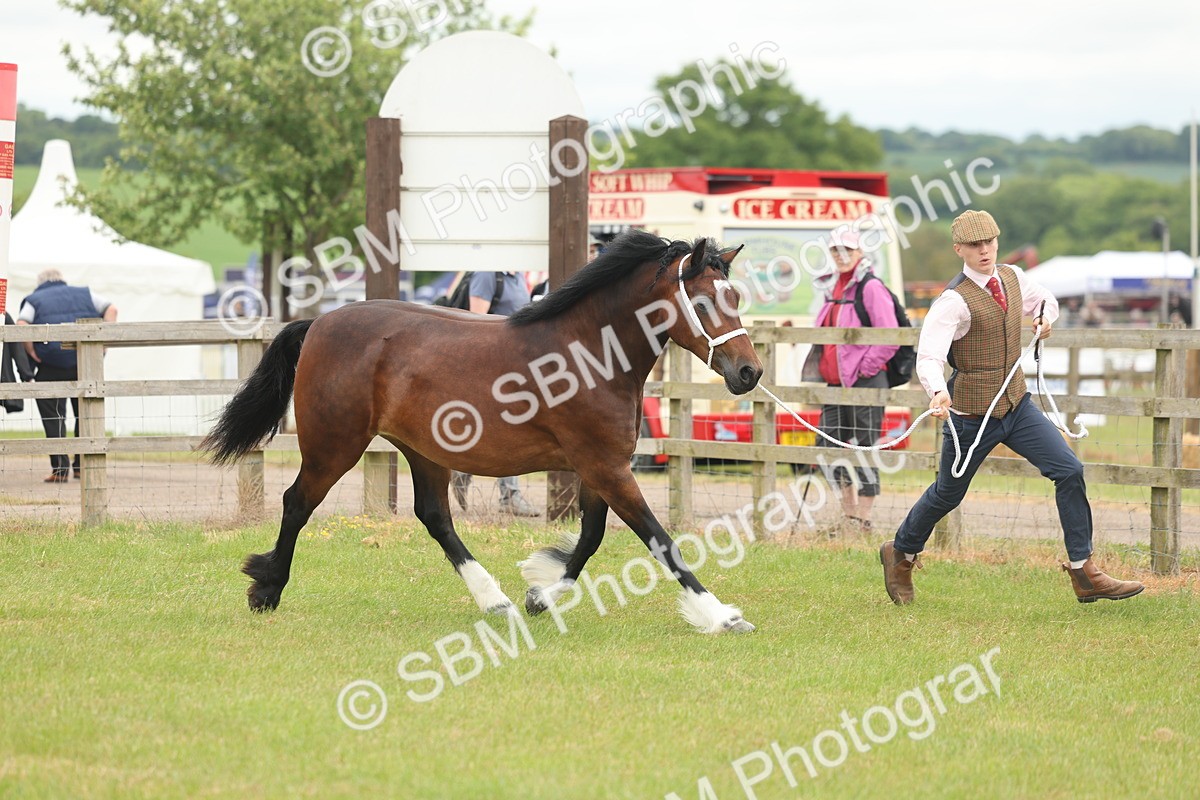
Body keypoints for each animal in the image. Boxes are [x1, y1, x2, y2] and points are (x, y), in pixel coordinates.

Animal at [201, 229, 763, 633]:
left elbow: (589, 539)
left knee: (435, 517)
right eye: (705, 303)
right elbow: (658, 539)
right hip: (334, 444)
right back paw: (266, 589)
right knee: (296, 502)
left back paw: (497, 603)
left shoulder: (597, 467)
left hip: (423, 450)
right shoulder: (604, 465)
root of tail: (318, 323)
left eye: (735, 297)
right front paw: (721, 616)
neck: (589, 354)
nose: (749, 373)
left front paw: (539, 594)